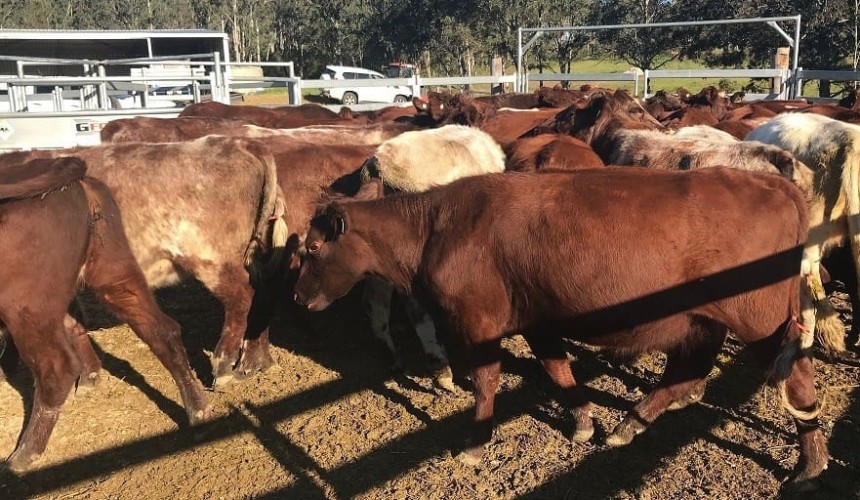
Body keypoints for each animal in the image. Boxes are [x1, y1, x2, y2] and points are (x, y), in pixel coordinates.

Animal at [0, 136, 288, 385]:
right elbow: (74, 323)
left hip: (211, 258)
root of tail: (238, 142)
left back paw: (224, 364)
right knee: (263, 294)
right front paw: (89, 374)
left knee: (242, 298)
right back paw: (256, 360)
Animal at [0, 156, 210, 471]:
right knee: (161, 330)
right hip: (115, 273)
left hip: (27, 308)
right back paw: (198, 411)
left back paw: (25, 453)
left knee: (56, 367)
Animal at [293, 167, 825, 490]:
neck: (436, 229)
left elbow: (486, 382)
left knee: (797, 380)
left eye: (313, 248)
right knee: (687, 373)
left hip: (759, 320)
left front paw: (475, 443)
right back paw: (629, 424)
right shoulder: (538, 318)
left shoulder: (479, 323)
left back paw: (810, 464)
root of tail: (775, 184)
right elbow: (558, 371)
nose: (298, 297)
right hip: (705, 321)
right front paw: (585, 421)